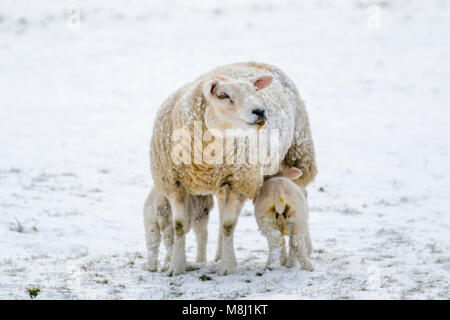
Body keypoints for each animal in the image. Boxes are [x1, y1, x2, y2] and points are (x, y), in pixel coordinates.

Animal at [149, 62, 316, 276]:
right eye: (222, 95)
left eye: (254, 91)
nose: (260, 111)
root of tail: (255, 62)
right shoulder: (173, 183)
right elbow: (179, 226)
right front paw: (176, 267)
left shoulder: (241, 182)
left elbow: (228, 225)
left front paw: (228, 267)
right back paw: (219, 254)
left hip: (299, 153)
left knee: (302, 194)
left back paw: (304, 251)